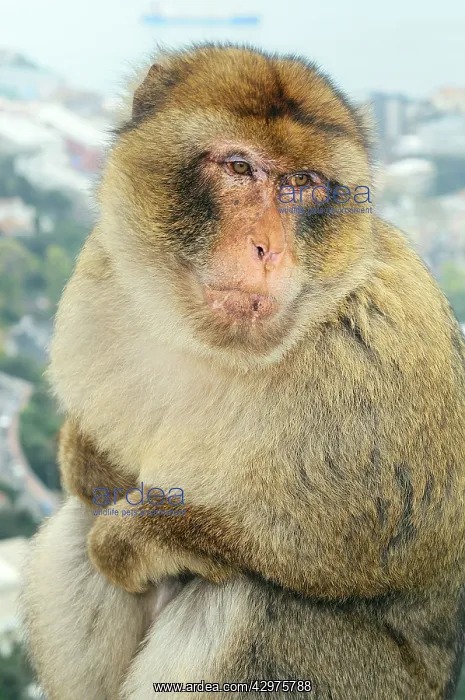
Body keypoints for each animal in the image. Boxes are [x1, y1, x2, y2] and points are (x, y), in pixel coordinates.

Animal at [20, 43, 465, 700]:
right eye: (238, 167)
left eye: (301, 183)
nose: (269, 249)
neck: (215, 345)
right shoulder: (102, 283)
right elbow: (93, 474)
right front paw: (86, 456)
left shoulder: (384, 350)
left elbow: (361, 547)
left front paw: (138, 537)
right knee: (79, 526)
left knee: (249, 599)